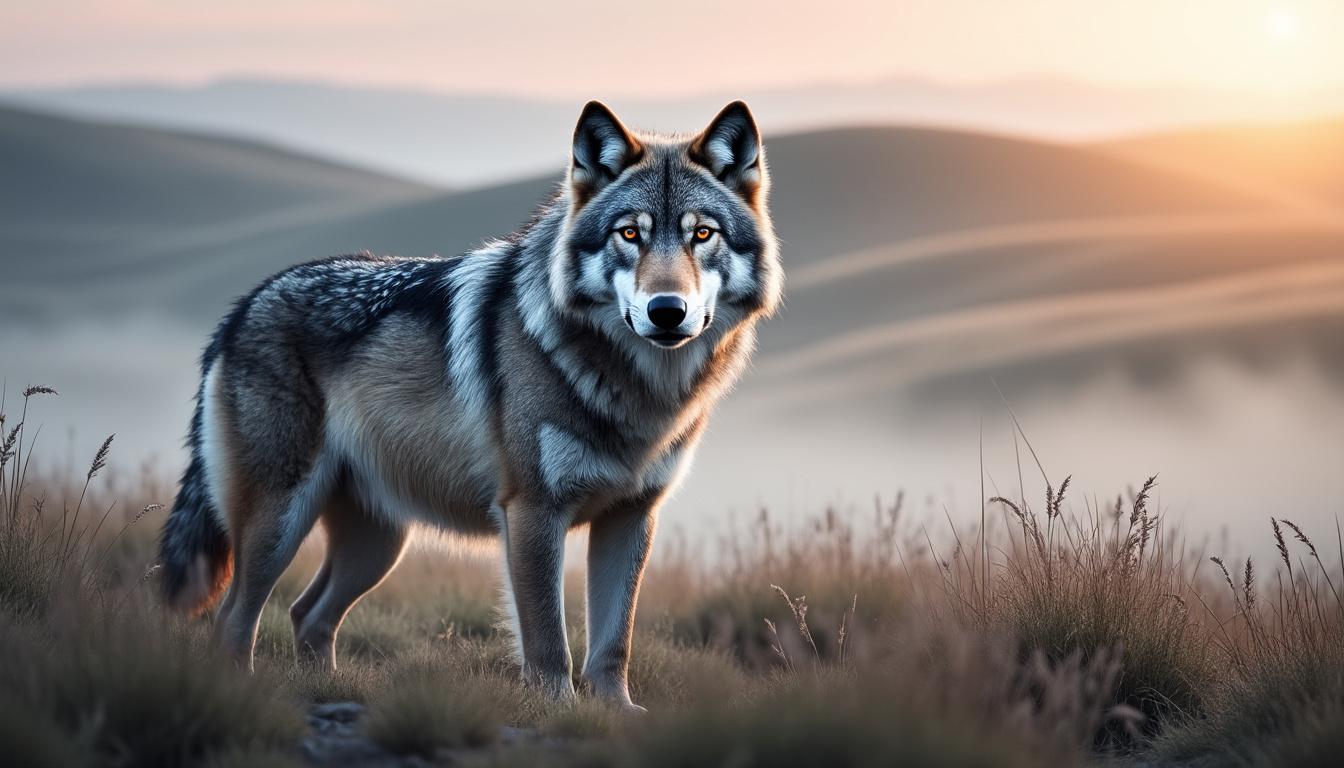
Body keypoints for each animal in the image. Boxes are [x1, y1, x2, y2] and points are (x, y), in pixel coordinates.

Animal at [157, 100, 781, 709]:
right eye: (629, 234)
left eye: (702, 234)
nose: (667, 310)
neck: (636, 391)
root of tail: (243, 306)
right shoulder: (532, 512)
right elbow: (548, 643)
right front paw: (559, 711)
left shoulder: (631, 519)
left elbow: (613, 643)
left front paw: (616, 715)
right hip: (281, 524)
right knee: (233, 619)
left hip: (378, 545)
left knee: (305, 614)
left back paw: (326, 687)